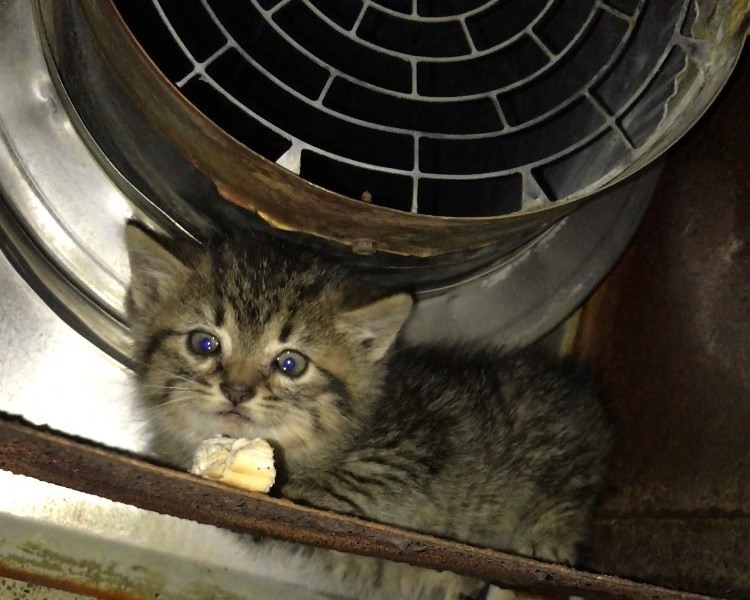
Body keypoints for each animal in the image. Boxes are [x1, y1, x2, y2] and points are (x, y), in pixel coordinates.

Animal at [126, 223, 612, 600]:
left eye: (290, 363)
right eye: (204, 343)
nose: (236, 391)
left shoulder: (407, 453)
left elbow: (335, 485)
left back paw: (545, 541)